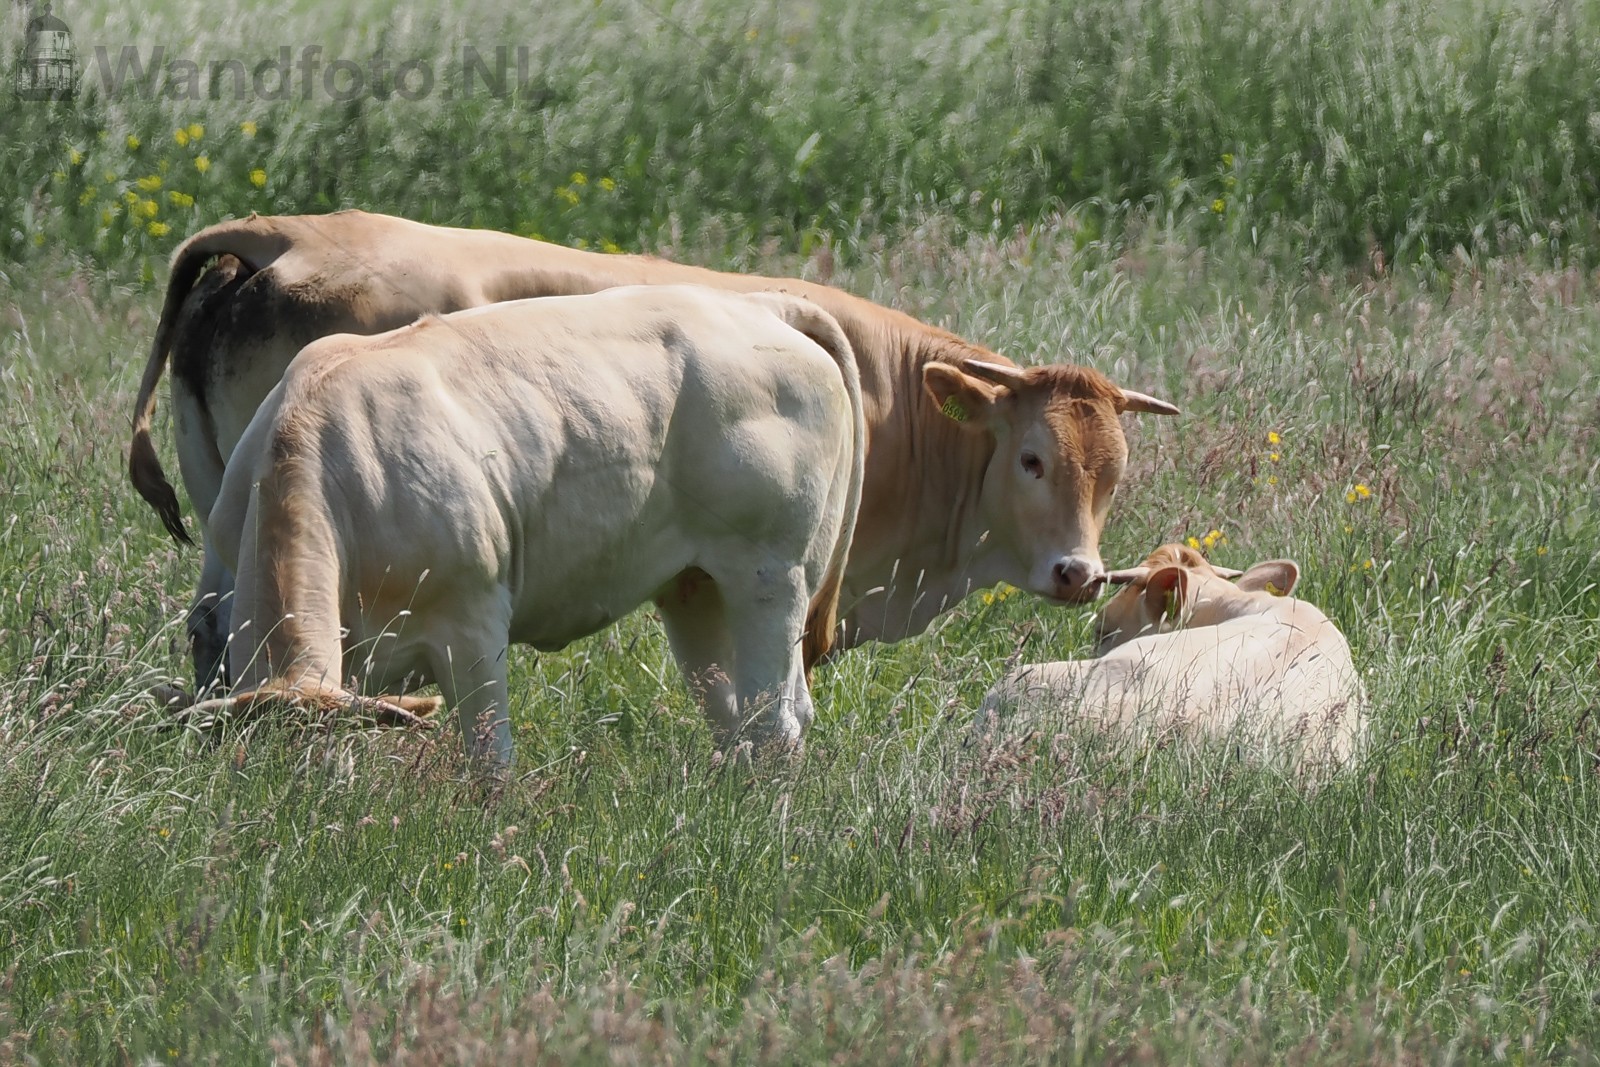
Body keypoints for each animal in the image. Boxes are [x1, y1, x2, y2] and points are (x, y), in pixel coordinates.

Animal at [185, 285, 865, 770]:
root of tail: (758, 303)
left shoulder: (471, 621)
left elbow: (491, 763)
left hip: (772, 573)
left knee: (774, 724)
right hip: (695, 586)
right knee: (738, 718)